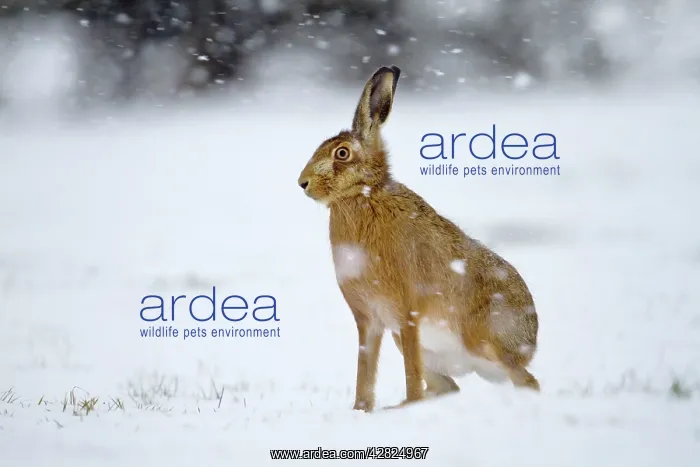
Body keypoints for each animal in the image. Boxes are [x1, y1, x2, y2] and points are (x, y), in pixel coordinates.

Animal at [297, 65, 540, 412]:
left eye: (341, 153)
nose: (302, 183)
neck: (363, 195)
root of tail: (531, 343)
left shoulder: (407, 311)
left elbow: (409, 373)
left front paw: (402, 405)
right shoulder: (369, 321)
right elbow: (364, 371)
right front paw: (360, 411)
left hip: (484, 340)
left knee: (527, 382)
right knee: (450, 387)